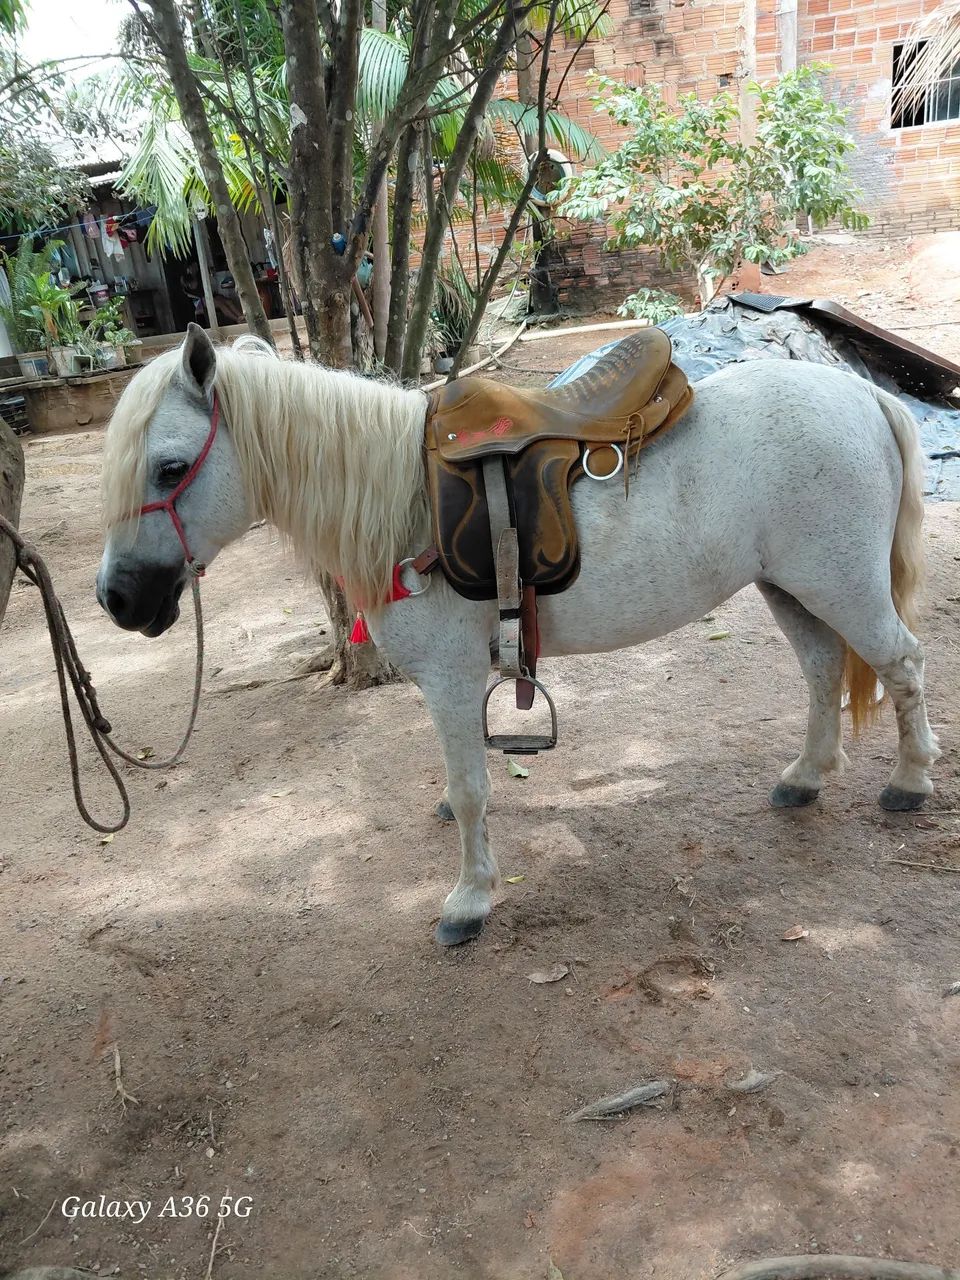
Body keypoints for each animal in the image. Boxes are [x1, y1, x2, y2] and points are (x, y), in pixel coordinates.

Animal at [97, 323, 939, 945]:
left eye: (169, 468)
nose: (116, 599)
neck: (401, 499)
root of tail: (864, 395)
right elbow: (463, 780)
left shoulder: (449, 678)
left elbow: (470, 790)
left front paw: (469, 900)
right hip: (791, 587)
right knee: (823, 668)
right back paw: (806, 775)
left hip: (841, 585)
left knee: (902, 665)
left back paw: (909, 780)